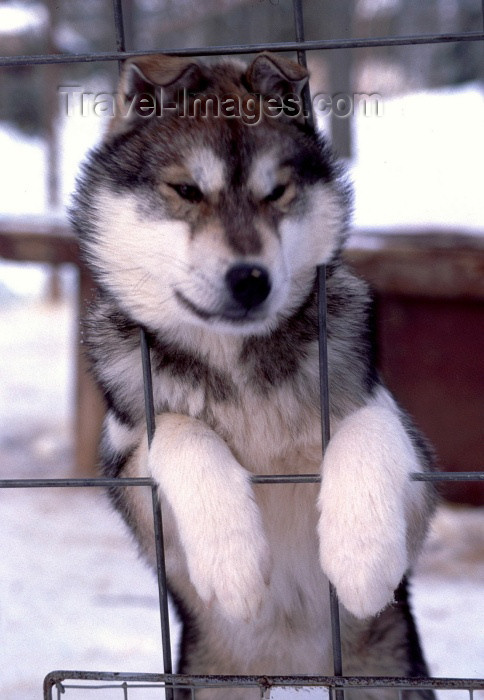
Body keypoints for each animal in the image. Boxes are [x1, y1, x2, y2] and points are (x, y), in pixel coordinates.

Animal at [73, 52, 438, 696]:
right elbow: (176, 429)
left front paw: (363, 557)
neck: (238, 370)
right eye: (187, 190)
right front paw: (233, 562)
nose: (250, 279)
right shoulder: (129, 474)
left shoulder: (404, 442)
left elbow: (369, 424)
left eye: (277, 192)